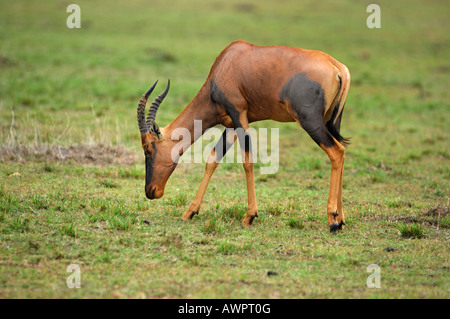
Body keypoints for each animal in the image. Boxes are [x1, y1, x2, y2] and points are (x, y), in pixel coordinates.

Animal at [137, 41, 352, 234]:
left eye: (148, 148)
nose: (150, 191)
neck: (227, 63)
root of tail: (338, 67)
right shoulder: (231, 125)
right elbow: (212, 160)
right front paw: (190, 212)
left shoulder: (239, 115)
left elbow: (247, 161)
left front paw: (249, 216)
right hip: (330, 121)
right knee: (341, 152)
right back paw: (340, 219)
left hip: (310, 121)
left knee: (335, 152)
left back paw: (332, 220)